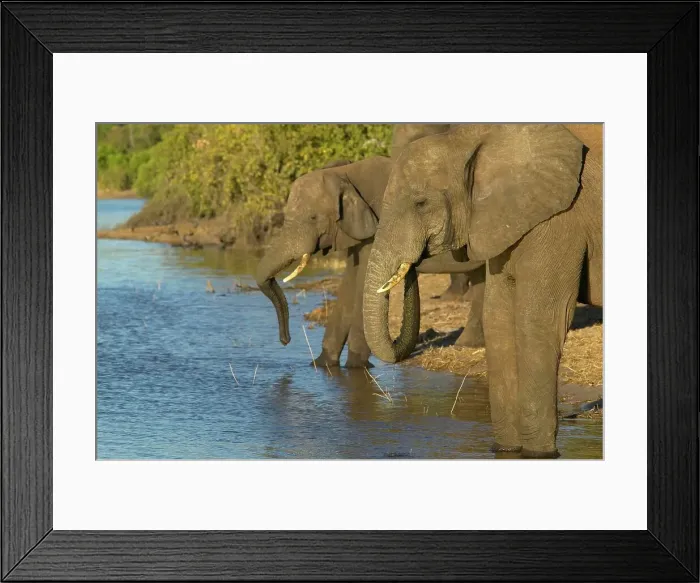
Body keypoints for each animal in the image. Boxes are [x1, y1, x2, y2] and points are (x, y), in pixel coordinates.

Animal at [254, 156, 483, 369]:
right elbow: (348, 287)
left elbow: (360, 290)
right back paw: (468, 344)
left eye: (312, 218)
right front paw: (321, 365)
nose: (285, 340)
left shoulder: (376, 228)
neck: (345, 174)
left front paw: (356, 367)